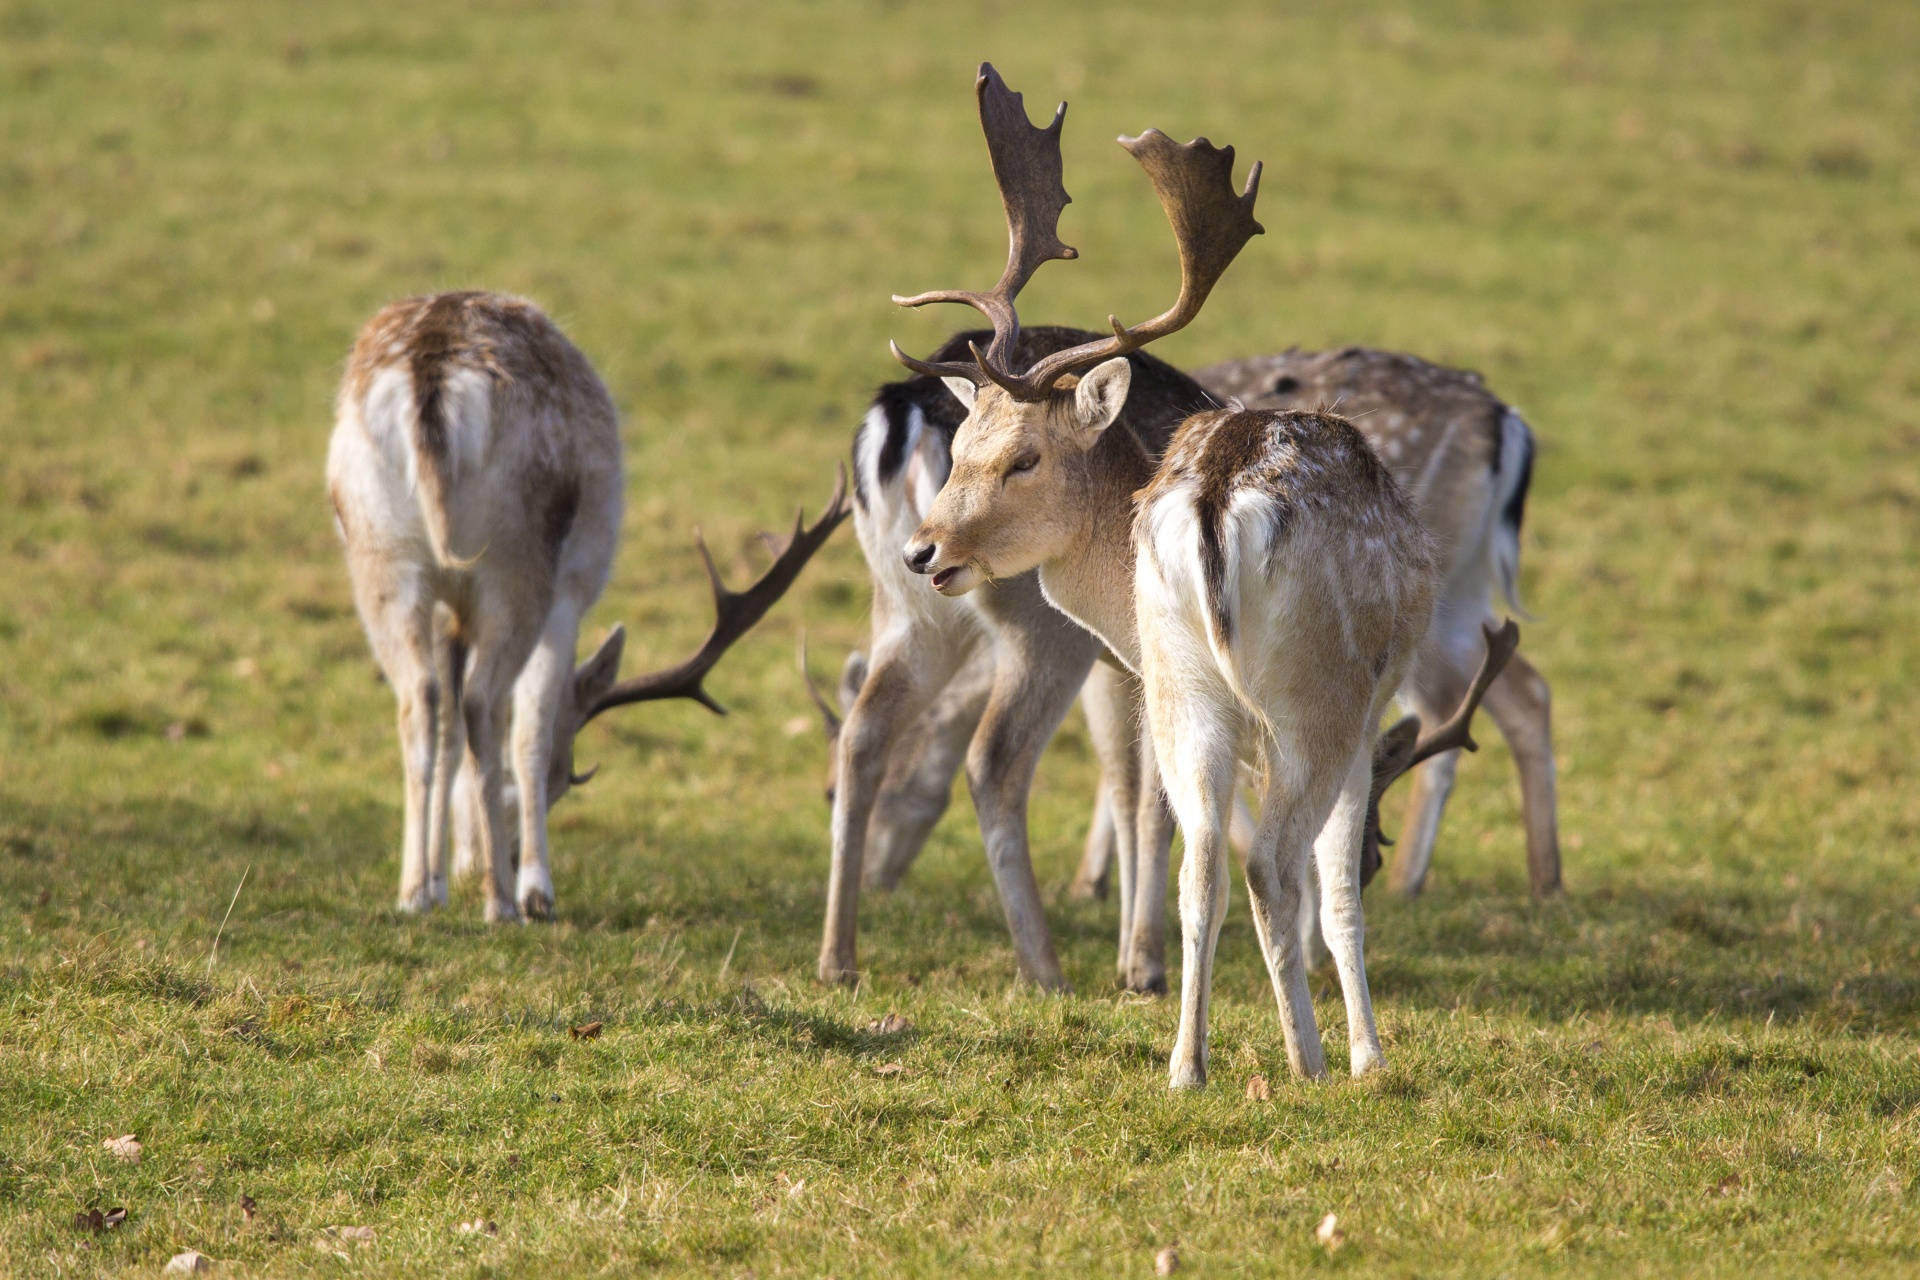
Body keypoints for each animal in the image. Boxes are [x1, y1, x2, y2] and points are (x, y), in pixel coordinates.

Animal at [330, 289, 848, 921]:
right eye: (560, 781)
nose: (491, 862)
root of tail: (432, 367)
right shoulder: (572, 590)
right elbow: (529, 732)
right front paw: (535, 891)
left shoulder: (452, 616)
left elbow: (451, 736)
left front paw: (437, 884)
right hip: (520, 558)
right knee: (484, 701)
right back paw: (502, 903)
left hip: (380, 554)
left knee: (420, 699)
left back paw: (411, 894)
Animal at [883, 70, 1443, 1090]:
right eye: (961, 441)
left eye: (1020, 457)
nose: (923, 551)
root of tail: (1220, 498)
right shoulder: (1368, 712)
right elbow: (1338, 892)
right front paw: (1369, 1055)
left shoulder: (1149, 677)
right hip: (1316, 695)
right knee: (1271, 864)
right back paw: (1305, 1060)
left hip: (1190, 686)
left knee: (1205, 869)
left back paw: (1188, 1065)